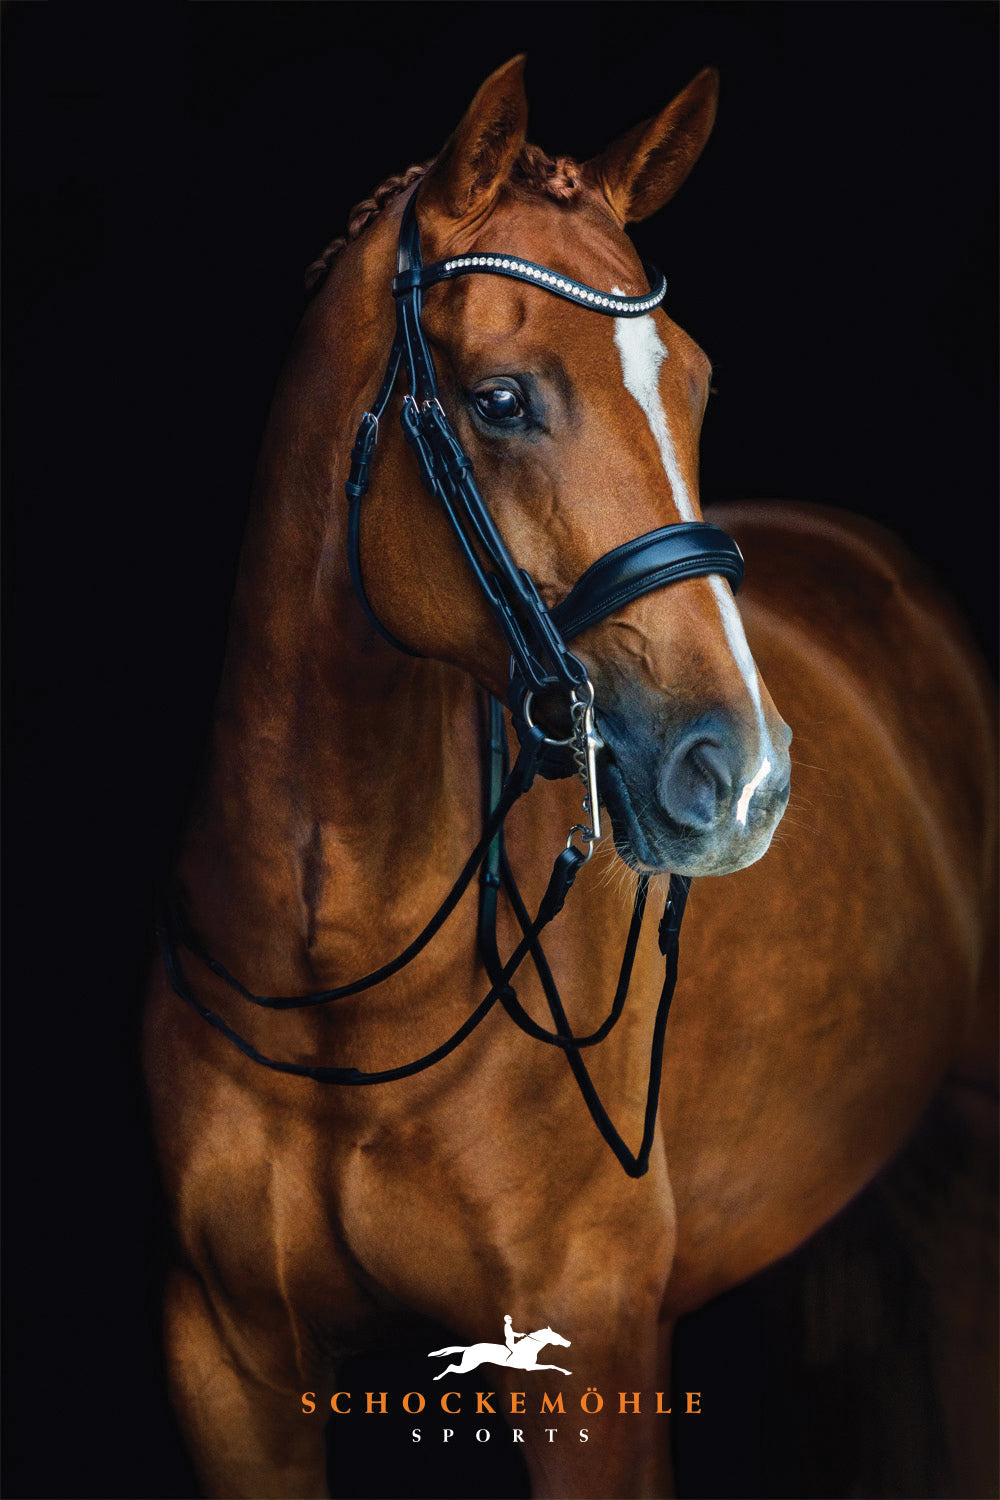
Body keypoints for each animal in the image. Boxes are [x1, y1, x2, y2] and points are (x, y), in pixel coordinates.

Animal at [143, 56, 997, 1500]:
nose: (744, 776)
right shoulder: (233, 1371)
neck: (344, 981)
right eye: (500, 400)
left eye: (694, 385)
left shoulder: (591, 1353)